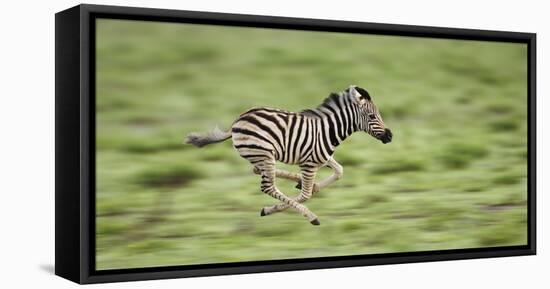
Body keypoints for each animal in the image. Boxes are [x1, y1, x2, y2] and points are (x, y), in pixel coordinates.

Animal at [185, 84, 392, 224]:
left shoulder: (321, 158)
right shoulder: (309, 164)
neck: (329, 131)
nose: (390, 136)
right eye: (372, 116)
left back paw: (296, 180)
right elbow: (305, 195)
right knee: (268, 187)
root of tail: (238, 120)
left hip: (261, 155)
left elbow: (339, 171)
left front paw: (313, 185)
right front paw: (302, 207)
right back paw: (307, 214)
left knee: (256, 171)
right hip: (264, 155)